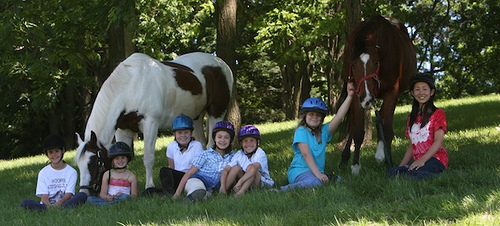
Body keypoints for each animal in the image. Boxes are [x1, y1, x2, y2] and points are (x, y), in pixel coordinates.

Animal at [73, 52, 233, 195]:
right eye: (79, 165)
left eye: (94, 162)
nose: (85, 193)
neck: (131, 86)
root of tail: (221, 64)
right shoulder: (123, 130)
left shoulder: (150, 124)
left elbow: (148, 158)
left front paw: (149, 187)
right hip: (196, 117)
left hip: (216, 112)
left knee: (212, 143)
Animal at [338, 15, 416, 174]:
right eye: (353, 64)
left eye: (375, 62)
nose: (367, 99)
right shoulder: (356, 93)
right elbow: (357, 130)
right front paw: (355, 165)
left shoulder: (392, 93)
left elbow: (387, 129)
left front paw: (389, 161)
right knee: (354, 123)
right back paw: (345, 157)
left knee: (382, 119)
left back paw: (381, 154)